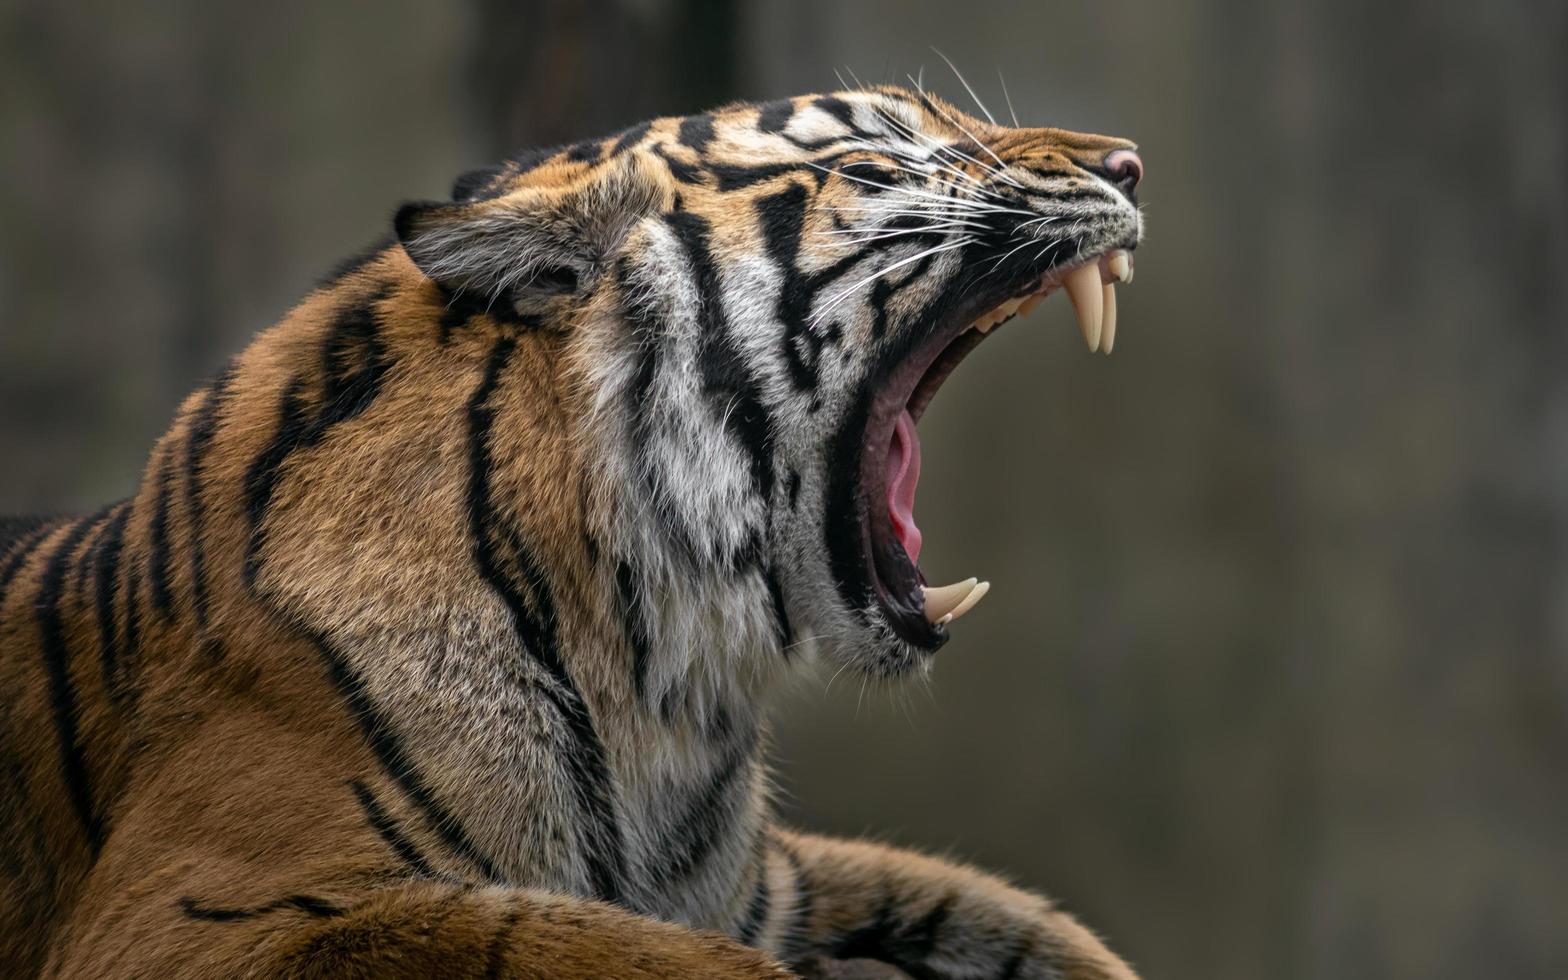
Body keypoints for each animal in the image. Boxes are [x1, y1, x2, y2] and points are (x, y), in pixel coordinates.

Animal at [0, 85, 1141, 978]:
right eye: (877, 156)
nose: (1129, 163)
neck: (664, 682)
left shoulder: (769, 884)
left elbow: (1004, 910)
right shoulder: (205, 910)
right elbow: (619, 951)